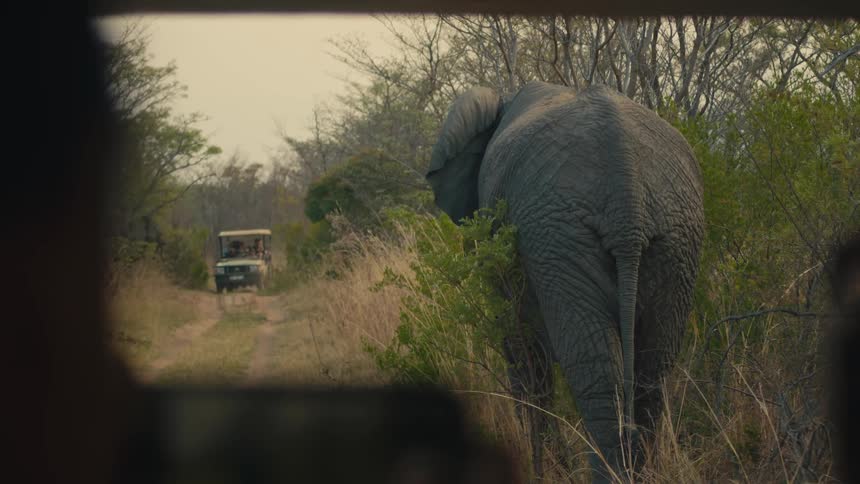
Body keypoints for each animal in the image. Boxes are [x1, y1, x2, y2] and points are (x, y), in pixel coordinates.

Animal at [426, 80, 704, 482]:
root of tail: (627, 197)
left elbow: (522, 353)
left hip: (558, 235)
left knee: (595, 370)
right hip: (674, 234)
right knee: (653, 368)